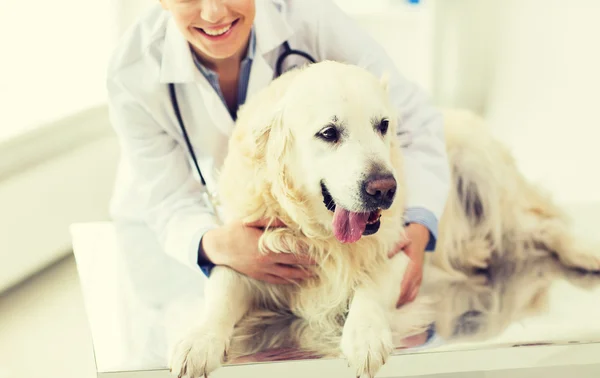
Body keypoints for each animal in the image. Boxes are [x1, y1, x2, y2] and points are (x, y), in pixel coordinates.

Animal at [169, 60, 600, 378]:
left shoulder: (402, 250)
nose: (384, 189)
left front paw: (364, 335)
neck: (322, 238)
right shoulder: (247, 252)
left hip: (484, 173)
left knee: (546, 226)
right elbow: (221, 292)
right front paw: (197, 340)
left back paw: (586, 255)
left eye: (383, 125)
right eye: (329, 132)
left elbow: (371, 287)